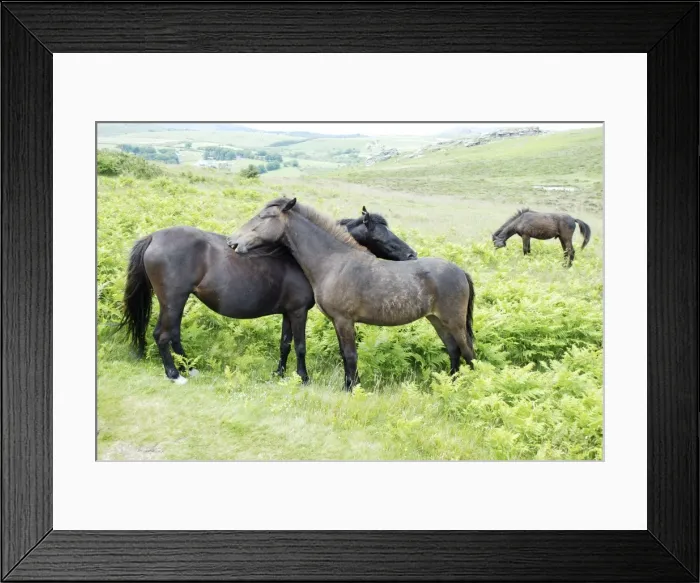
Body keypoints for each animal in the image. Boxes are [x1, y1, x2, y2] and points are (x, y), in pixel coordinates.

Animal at [119, 208, 417, 385]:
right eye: (380, 233)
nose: (411, 254)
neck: (301, 258)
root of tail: (154, 237)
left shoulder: (288, 311)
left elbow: (284, 344)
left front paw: (280, 374)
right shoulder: (298, 311)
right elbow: (300, 346)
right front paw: (303, 378)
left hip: (175, 302)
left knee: (173, 335)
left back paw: (191, 368)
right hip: (173, 299)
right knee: (163, 335)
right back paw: (175, 375)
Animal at [227, 197, 476, 392]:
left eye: (264, 217)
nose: (233, 241)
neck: (334, 262)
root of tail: (460, 271)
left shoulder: (344, 320)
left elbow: (350, 355)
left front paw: (351, 388)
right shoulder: (337, 322)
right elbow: (344, 354)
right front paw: (350, 384)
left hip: (454, 322)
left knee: (468, 352)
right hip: (437, 321)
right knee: (453, 351)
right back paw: (452, 383)